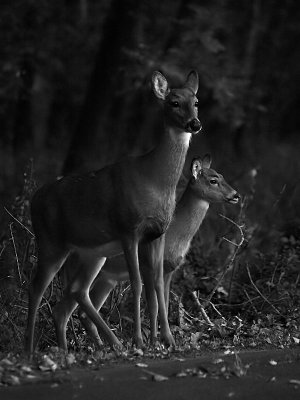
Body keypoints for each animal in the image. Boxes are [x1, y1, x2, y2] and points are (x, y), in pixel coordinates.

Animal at [25, 69, 202, 354]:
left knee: (76, 290)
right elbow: (138, 283)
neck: (155, 179)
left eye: (196, 102)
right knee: (36, 288)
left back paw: (86, 346)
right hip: (50, 242)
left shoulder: (157, 234)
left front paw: (165, 340)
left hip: (92, 252)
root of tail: (34, 198)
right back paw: (30, 350)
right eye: (174, 102)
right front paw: (140, 340)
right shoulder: (128, 229)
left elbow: (157, 285)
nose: (194, 124)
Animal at [69, 155, 240, 348]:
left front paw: (163, 338)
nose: (236, 195)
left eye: (222, 175)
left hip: (107, 279)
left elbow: (164, 301)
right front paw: (156, 341)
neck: (176, 233)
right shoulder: (148, 266)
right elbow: (154, 304)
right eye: (213, 180)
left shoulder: (169, 270)